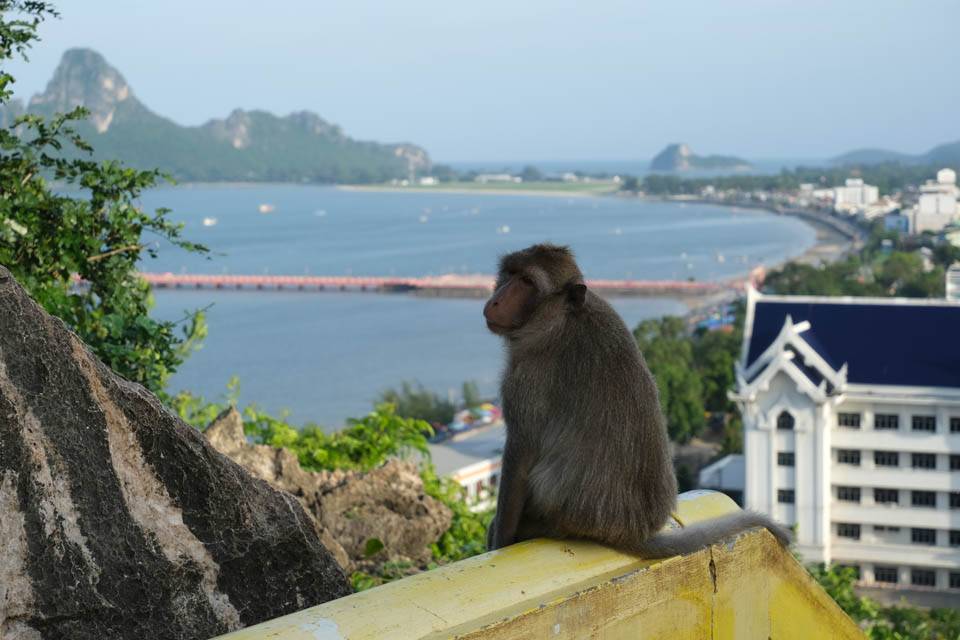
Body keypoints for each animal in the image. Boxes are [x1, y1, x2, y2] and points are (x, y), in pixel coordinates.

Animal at [483, 243, 790, 557]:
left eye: (527, 282)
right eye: (510, 274)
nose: (495, 301)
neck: (563, 317)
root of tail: (634, 532)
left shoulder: (527, 375)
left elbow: (521, 450)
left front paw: (500, 540)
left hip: (562, 512)